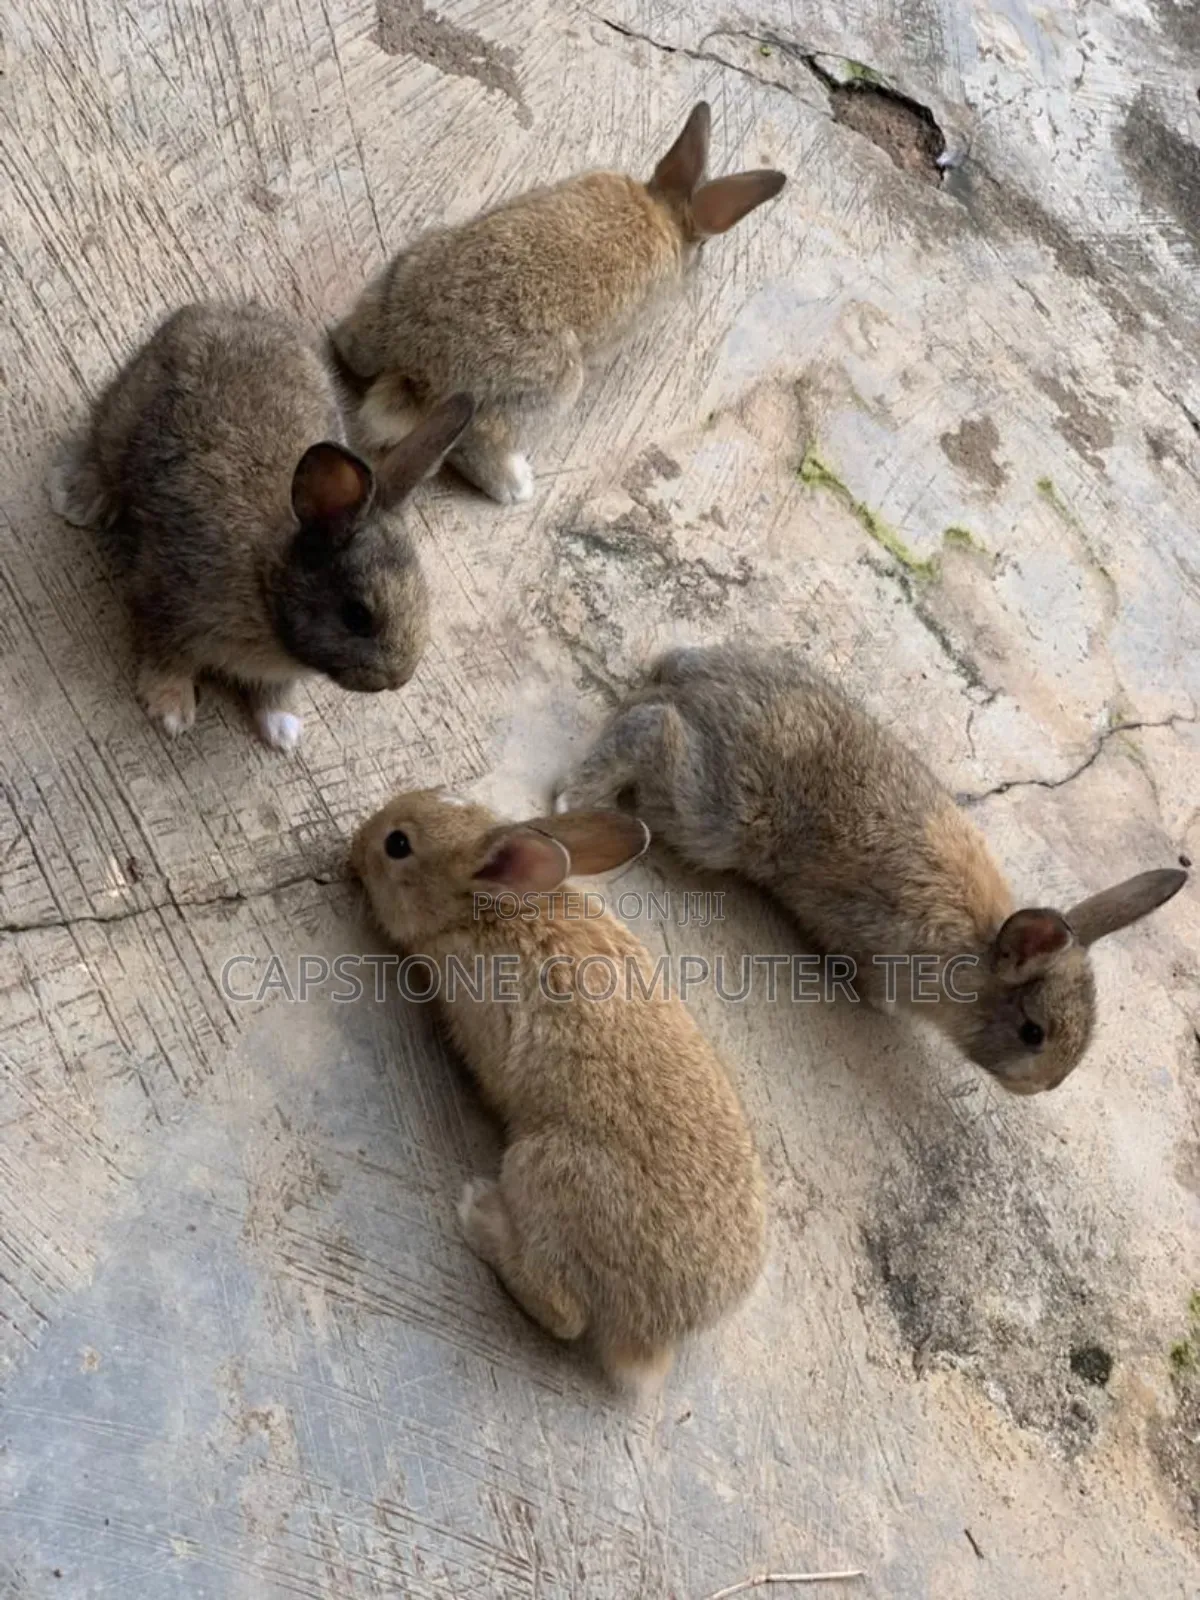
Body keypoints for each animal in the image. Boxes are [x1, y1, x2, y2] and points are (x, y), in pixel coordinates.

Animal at [48, 302, 474, 751]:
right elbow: (167, 654)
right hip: (121, 421)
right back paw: (77, 497)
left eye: (424, 596)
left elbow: (272, 692)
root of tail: (214, 314)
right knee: (102, 452)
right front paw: (170, 709)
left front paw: (283, 730)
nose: (398, 678)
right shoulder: (165, 597)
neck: (267, 583)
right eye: (357, 615)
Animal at [330, 102, 785, 506]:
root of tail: (416, 366)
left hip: (404, 271)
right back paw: (516, 486)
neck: (664, 211)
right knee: (477, 446)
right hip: (550, 390)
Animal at [351, 790, 766, 1389]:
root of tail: (656, 1334)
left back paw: (479, 1214)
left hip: (543, 1168)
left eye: (398, 844)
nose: (354, 845)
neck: (484, 909)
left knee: (563, 1312)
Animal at [554, 642, 1188, 1095]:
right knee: (651, 727)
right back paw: (573, 798)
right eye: (1033, 1032)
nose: (1043, 1087)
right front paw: (876, 1003)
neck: (978, 953)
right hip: (721, 817)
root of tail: (691, 677)